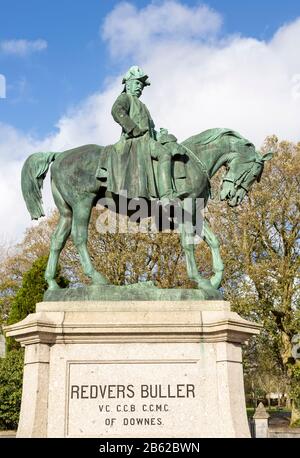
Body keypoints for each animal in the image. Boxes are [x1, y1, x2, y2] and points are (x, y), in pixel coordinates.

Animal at [21, 128, 274, 296]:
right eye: (255, 173)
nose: (234, 197)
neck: (193, 161)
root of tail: (60, 155)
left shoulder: (195, 215)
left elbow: (213, 240)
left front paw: (214, 281)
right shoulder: (186, 210)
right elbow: (188, 244)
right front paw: (200, 280)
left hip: (67, 210)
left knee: (57, 240)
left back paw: (52, 285)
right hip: (83, 203)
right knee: (79, 237)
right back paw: (98, 279)